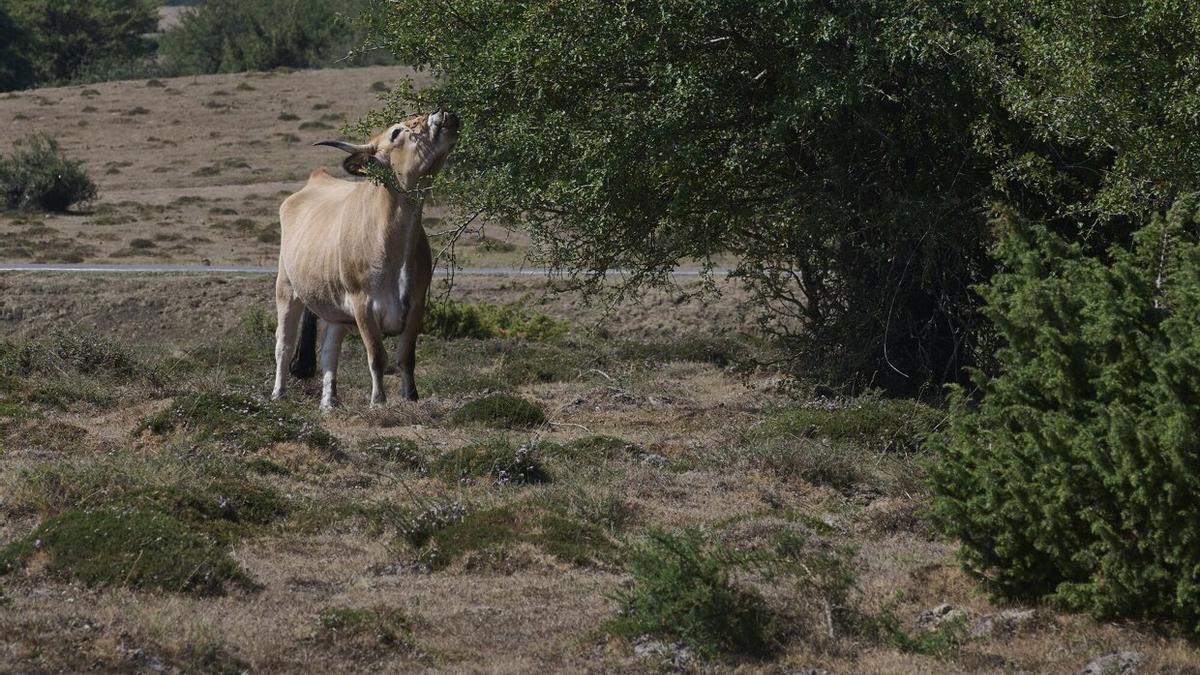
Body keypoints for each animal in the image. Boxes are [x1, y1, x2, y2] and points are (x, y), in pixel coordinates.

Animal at [272, 107, 458, 408]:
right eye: (396, 131)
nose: (441, 112)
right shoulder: (363, 305)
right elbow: (377, 356)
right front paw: (378, 401)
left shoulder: (416, 304)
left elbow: (406, 357)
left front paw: (410, 397)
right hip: (287, 288)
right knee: (284, 344)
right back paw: (278, 393)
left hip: (335, 308)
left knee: (329, 352)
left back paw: (329, 402)